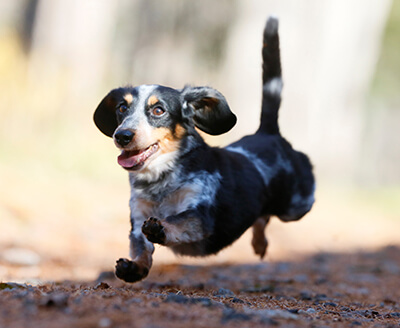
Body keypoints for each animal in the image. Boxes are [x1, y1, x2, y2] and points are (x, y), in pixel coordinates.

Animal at [92, 16, 314, 282]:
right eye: (122, 109)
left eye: (158, 110)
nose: (122, 136)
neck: (160, 182)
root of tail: (267, 133)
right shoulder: (137, 218)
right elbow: (141, 249)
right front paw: (133, 267)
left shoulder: (200, 213)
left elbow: (178, 220)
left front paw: (161, 227)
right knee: (261, 218)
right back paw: (259, 244)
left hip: (297, 206)